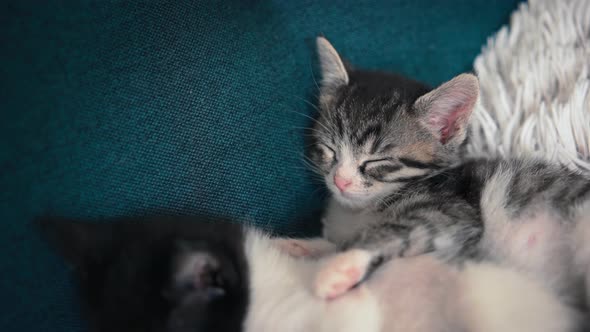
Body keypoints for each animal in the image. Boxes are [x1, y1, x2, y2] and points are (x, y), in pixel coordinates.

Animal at [308, 37, 590, 306]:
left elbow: (396, 227)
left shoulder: (452, 211)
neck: (360, 212)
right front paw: (308, 247)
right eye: (330, 149)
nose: (340, 181)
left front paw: (338, 264)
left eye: (378, 160)